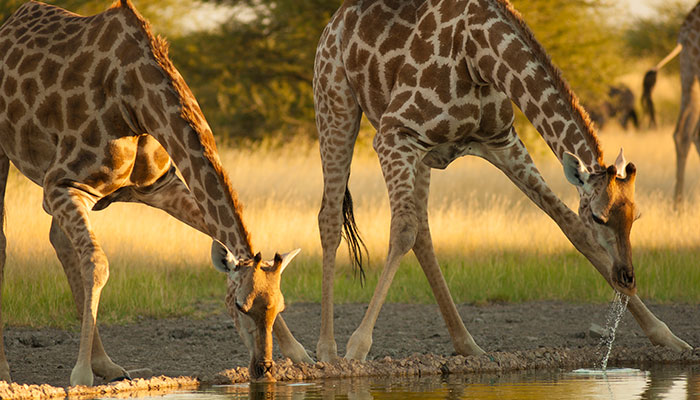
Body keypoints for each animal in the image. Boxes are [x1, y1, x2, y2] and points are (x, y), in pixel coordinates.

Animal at [0, 0, 312, 388]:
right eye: (239, 306)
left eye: (280, 306)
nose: (264, 370)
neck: (136, 102)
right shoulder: (65, 183)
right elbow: (98, 264)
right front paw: (80, 374)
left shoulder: (160, 186)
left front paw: (301, 354)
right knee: (10, 244)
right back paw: (10, 369)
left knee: (60, 240)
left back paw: (107, 363)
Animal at [314, 0, 696, 362]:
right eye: (599, 217)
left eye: (636, 216)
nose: (628, 278)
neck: (479, 57)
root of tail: (333, 23)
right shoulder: (395, 135)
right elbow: (402, 230)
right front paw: (357, 347)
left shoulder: (501, 141)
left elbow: (569, 226)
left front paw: (669, 338)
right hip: (336, 105)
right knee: (331, 218)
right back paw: (326, 350)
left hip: (421, 154)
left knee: (423, 231)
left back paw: (468, 345)